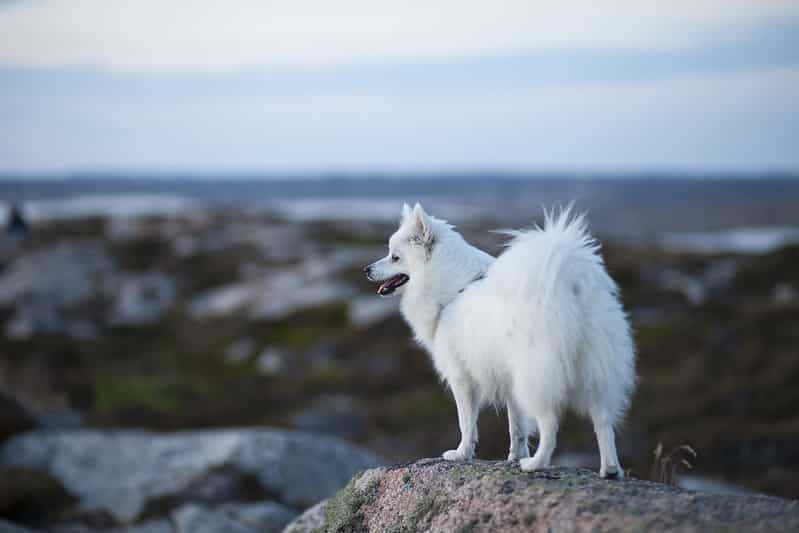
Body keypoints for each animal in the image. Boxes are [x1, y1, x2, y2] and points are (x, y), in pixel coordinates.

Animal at [366, 202, 636, 476]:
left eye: (394, 257)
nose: (366, 270)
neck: (453, 290)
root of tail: (571, 288)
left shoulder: (462, 377)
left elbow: (466, 423)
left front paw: (462, 454)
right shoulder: (508, 382)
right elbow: (516, 426)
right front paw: (514, 456)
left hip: (535, 377)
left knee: (550, 425)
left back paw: (536, 464)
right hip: (596, 375)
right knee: (603, 422)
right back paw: (610, 469)